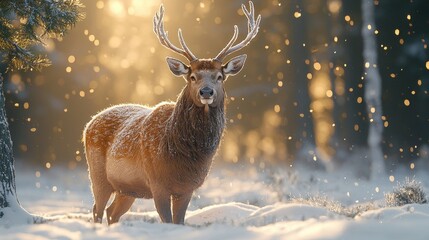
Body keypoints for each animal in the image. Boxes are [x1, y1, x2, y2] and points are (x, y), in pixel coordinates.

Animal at [82, 1, 260, 225]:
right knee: (97, 209)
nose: (206, 92)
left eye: (220, 76)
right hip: (97, 175)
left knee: (111, 212)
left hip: (127, 189)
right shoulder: (157, 182)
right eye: (192, 76)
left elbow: (179, 221)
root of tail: (89, 124)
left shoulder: (188, 188)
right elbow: (167, 220)